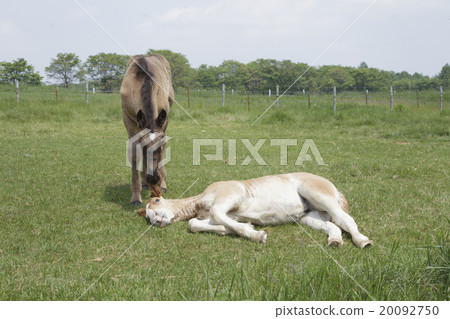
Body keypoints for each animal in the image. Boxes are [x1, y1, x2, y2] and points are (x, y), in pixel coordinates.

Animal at [119, 54, 174, 205]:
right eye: (144, 147)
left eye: (159, 147)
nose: (153, 178)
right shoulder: (129, 121)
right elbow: (134, 154)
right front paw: (135, 197)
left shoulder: (164, 121)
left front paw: (161, 185)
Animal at [137, 174, 372, 249]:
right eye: (146, 215)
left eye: (156, 201)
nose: (155, 219)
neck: (201, 201)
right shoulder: (221, 214)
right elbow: (195, 224)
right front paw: (241, 227)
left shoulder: (231, 198)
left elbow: (216, 215)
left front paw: (257, 235)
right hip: (309, 216)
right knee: (333, 225)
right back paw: (335, 241)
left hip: (322, 197)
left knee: (347, 220)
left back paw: (363, 241)